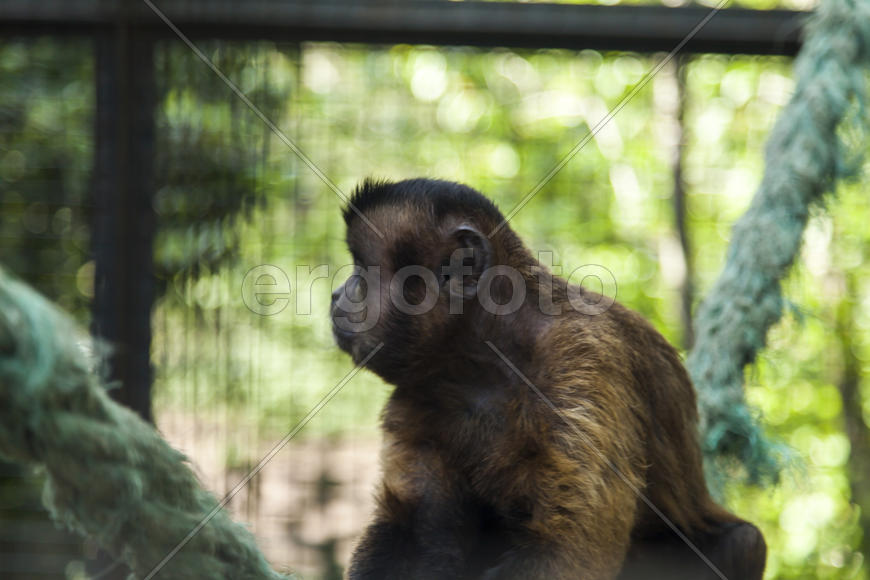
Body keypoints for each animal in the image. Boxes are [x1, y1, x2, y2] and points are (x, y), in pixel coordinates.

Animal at [331, 178, 766, 580]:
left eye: (361, 272)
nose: (336, 295)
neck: (487, 358)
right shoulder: (421, 391)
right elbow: (419, 532)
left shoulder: (583, 362)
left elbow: (567, 549)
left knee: (745, 543)